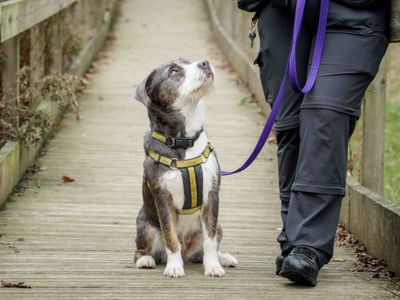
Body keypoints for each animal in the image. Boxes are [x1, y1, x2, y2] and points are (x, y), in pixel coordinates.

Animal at [133, 57, 238, 278]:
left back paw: (224, 258)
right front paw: (174, 266)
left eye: (188, 62)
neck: (184, 139)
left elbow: (210, 240)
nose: (205, 63)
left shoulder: (212, 195)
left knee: (207, 246)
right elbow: (170, 237)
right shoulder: (163, 198)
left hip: (220, 225)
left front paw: (213, 266)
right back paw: (145, 260)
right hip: (144, 224)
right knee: (142, 249)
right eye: (173, 71)